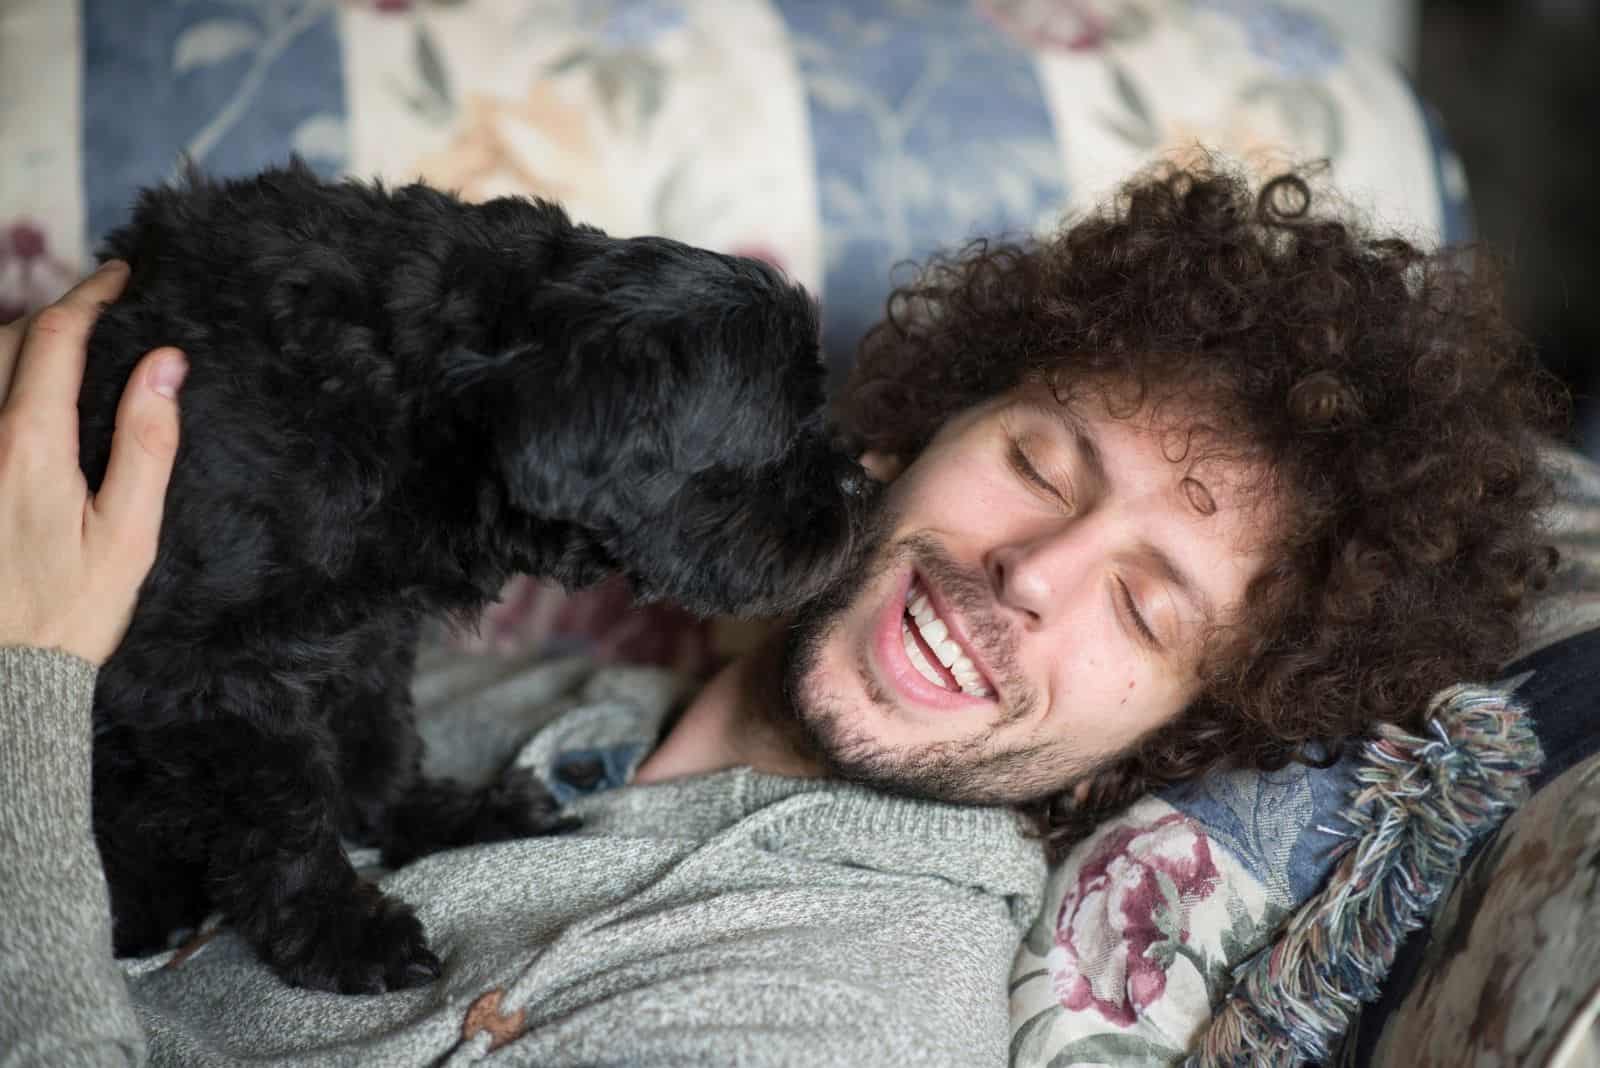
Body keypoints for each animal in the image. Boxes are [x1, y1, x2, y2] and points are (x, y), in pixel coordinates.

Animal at [79, 163, 870, 997]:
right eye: (779, 434)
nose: (863, 483)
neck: (409, 396)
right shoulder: (210, 672)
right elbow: (282, 814)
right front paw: (342, 932)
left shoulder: (366, 630)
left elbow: (375, 739)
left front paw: (429, 821)